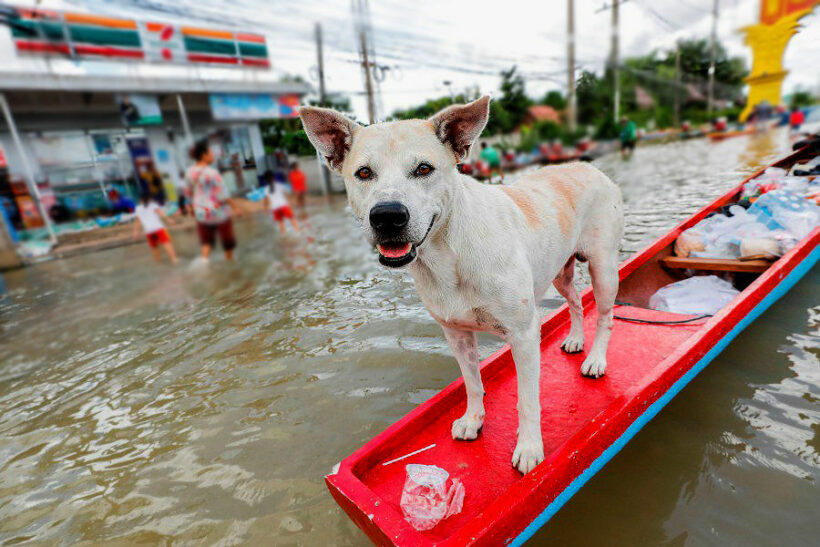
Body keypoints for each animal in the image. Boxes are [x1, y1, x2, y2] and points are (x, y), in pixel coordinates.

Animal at [304, 98, 624, 476]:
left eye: (424, 169)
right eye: (364, 173)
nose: (387, 216)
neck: (448, 254)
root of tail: (589, 167)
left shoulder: (523, 334)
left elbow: (527, 399)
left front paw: (530, 448)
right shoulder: (455, 332)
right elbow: (471, 383)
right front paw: (473, 420)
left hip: (604, 269)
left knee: (605, 316)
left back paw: (596, 359)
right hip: (559, 272)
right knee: (574, 300)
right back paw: (575, 339)